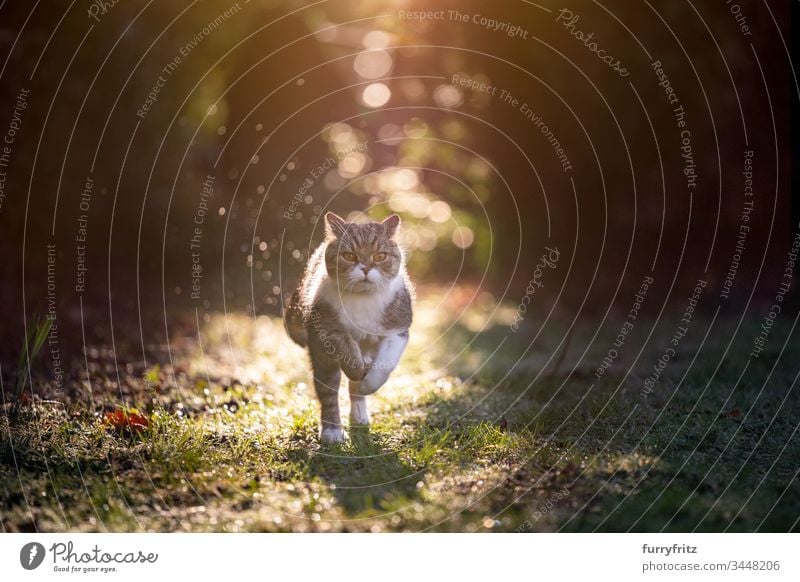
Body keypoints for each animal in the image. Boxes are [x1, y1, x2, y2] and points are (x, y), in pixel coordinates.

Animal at [284, 212, 416, 444]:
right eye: (349, 255)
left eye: (380, 256)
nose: (365, 268)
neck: (362, 300)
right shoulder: (326, 330)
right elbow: (348, 357)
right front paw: (358, 369)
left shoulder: (396, 330)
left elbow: (383, 367)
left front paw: (367, 384)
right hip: (320, 354)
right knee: (328, 391)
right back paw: (332, 431)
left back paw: (359, 414)